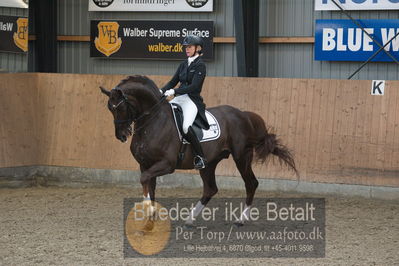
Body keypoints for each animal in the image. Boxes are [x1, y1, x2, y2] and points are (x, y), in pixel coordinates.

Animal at [101, 74, 298, 227]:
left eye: (119, 107)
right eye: (109, 109)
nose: (122, 135)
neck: (153, 121)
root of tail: (244, 115)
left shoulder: (166, 165)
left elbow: (144, 181)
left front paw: (148, 210)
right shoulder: (146, 165)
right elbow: (150, 186)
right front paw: (150, 218)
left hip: (241, 157)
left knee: (251, 183)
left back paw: (241, 219)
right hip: (209, 163)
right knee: (210, 189)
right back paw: (190, 219)